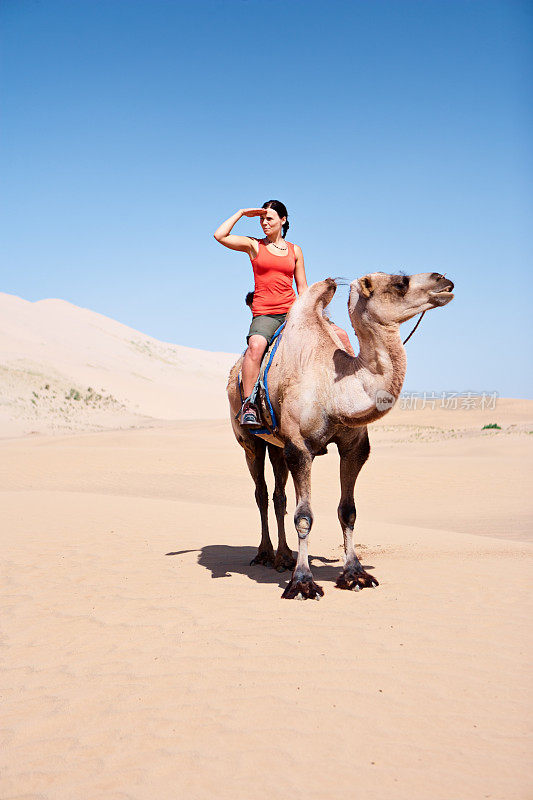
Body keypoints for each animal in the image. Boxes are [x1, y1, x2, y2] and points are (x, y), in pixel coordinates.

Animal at [224, 272, 454, 596]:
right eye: (401, 282)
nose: (444, 280)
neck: (332, 389)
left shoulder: (354, 447)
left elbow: (348, 510)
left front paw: (355, 574)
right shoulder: (299, 447)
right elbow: (304, 516)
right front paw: (303, 582)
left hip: (277, 444)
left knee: (279, 495)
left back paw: (284, 557)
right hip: (249, 441)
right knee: (260, 492)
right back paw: (265, 554)